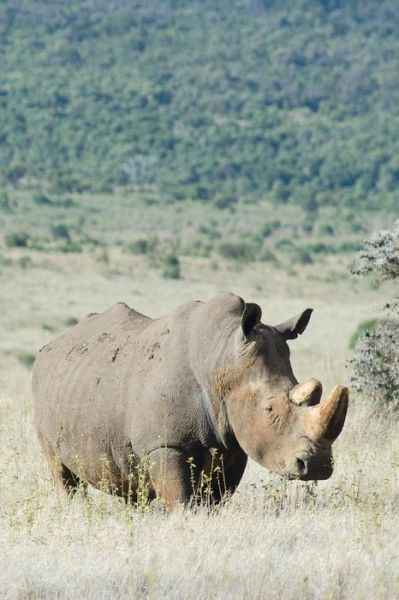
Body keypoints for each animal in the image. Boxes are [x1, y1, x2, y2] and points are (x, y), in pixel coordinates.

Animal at [32, 292, 348, 508]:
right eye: (269, 408)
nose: (318, 466)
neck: (221, 359)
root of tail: (52, 345)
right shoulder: (164, 445)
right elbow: (181, 501)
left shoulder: (232, 446)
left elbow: (215, 501)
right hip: (41, 387)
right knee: (61, 471)